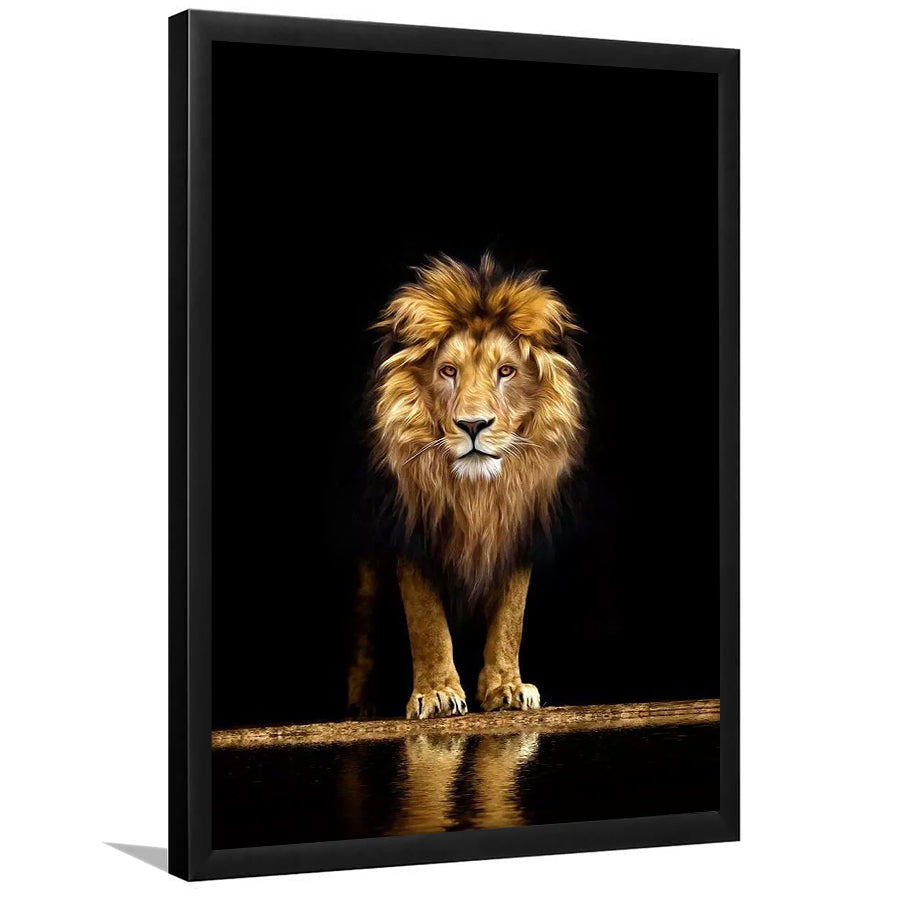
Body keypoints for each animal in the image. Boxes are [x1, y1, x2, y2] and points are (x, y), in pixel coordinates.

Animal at [347, 252, 586, 720]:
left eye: (506, 371)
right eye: (448, 371)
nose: (473, 425)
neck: (476, 494)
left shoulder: (517, 528)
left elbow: (511, 617)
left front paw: (507, 687)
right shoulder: (412, 532)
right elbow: (426, 621)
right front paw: (437, 692)